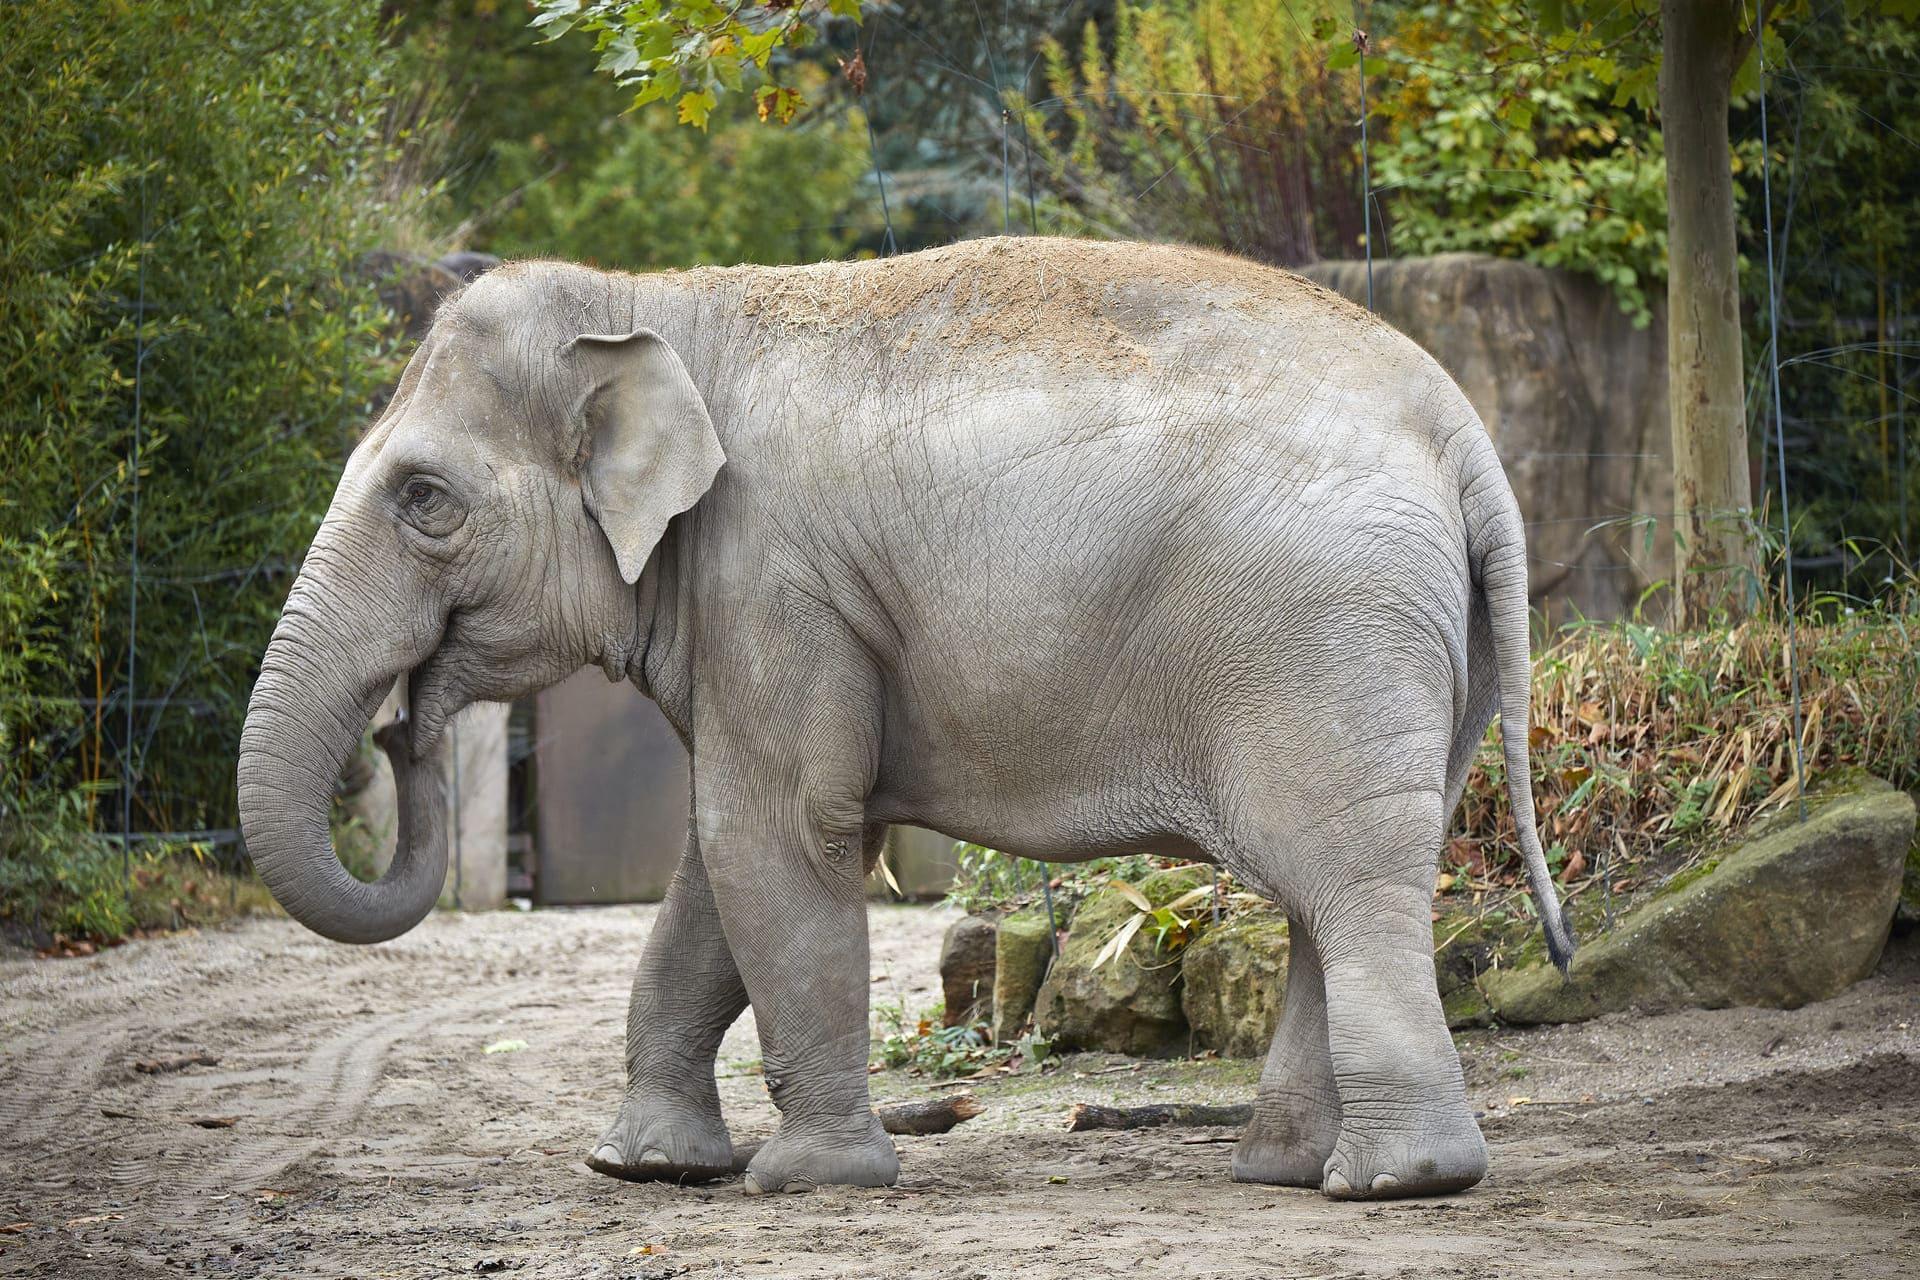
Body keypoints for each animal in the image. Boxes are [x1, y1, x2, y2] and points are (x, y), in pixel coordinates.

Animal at [237, 236, 1574, 1202]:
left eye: (424, 498)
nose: (405, 726)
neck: (657, 302)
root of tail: (1464, 434)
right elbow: (712, 870)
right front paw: (647, 1167)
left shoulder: (774, 580)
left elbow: (773, 835)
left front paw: (807, 1181)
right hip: (1419, 654)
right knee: (1330, 890)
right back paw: (1281, 1169)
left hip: (1328, 636)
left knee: (1349, 880)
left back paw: (1395, 1182)